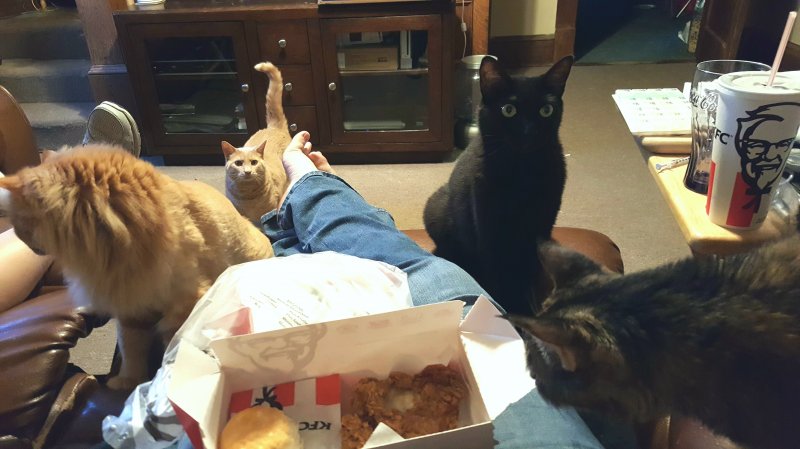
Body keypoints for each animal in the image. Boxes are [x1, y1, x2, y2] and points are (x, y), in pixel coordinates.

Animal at [0, 145, 274, 389]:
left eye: (20, 222)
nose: (22, 240)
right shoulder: (131, 307)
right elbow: (131, 349)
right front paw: (129, 381)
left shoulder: (183, 304)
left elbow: (171, 346)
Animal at [222, 62, 291, 222]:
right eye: (238, 163)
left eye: (254, 162)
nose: (247, 172)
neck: (248, 198)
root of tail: (272, 127)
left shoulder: (270, 213)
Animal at [423, 55, 573, 316]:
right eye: (508, 110)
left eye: (546, 110)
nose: (528, 131)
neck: (522, 173)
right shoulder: (488, 227)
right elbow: (497, 273)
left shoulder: (541, 224)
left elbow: (529, 270)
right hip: (436, 209)